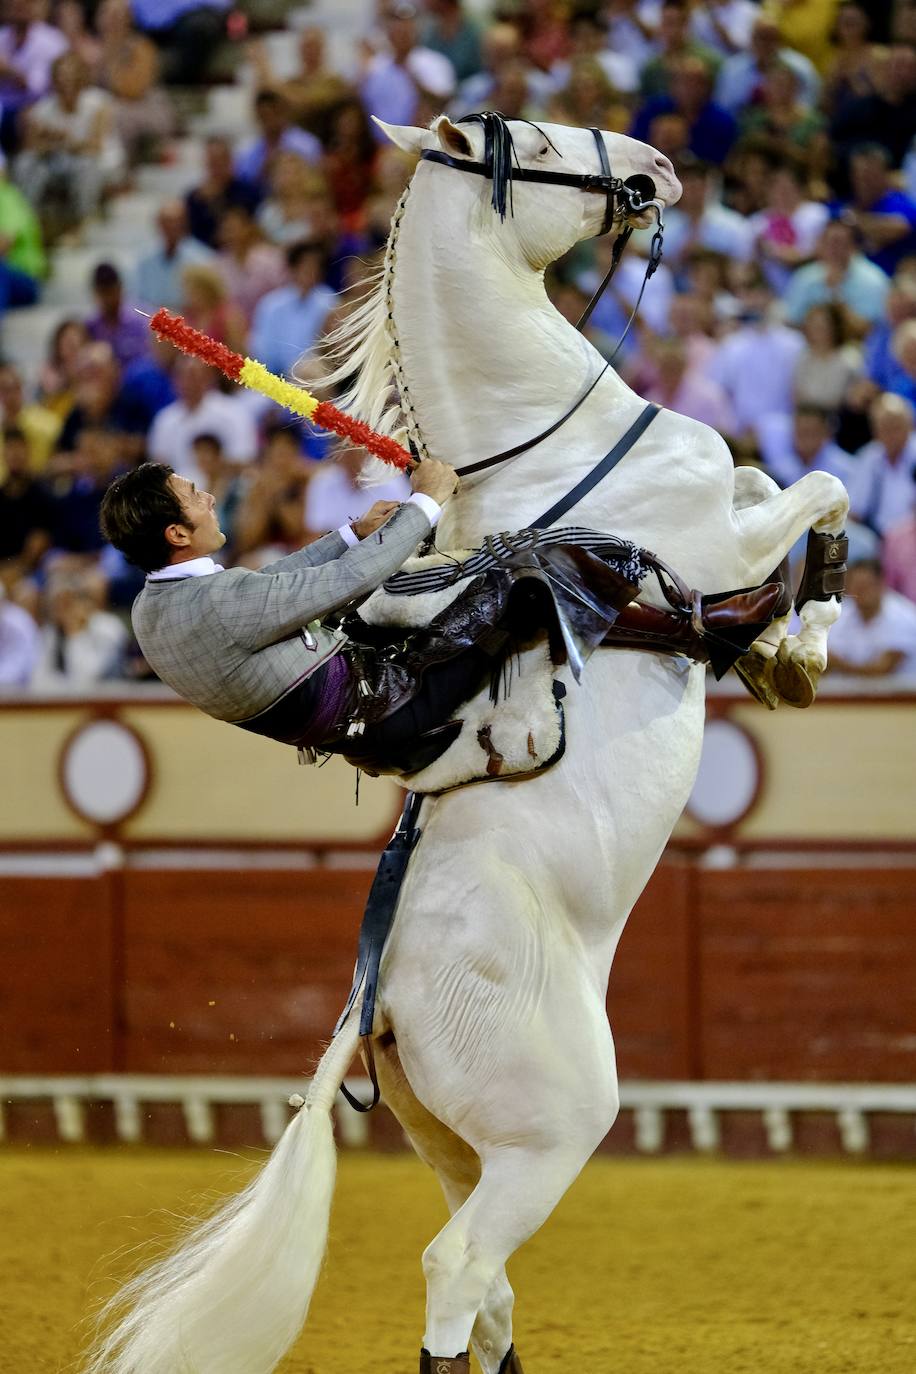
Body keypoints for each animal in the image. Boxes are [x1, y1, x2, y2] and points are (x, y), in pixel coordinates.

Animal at [89, 118, 851, 1374]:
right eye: (534, 138)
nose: (657, 165)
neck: (544, 450)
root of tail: (377, 1002)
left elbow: (770, 477)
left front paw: (784, 646)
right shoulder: (719, 540)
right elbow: (816, 488)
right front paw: (804, 636)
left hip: (449, 1141)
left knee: (487, 1293)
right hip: (549, 1137)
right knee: (456, 1270)